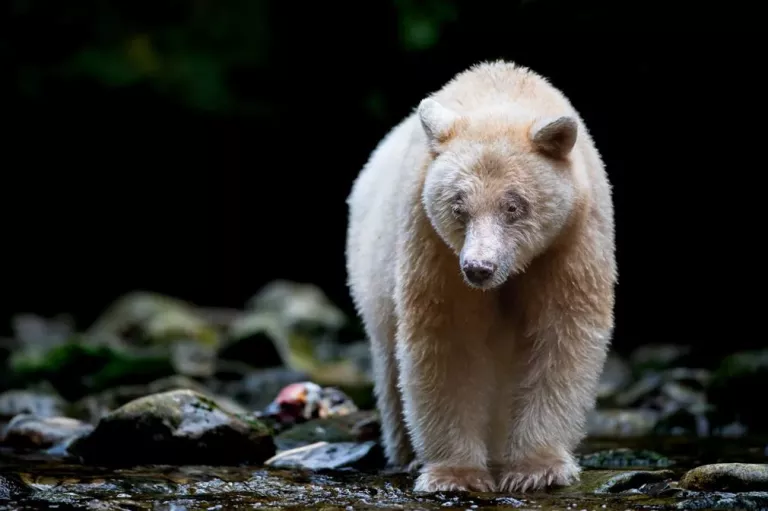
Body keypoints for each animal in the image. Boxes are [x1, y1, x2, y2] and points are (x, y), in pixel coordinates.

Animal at [345, 60, 616, 494]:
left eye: (513, 206)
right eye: (458, 206)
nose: (479, 268)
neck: (499, 93)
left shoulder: (569, 240)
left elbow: (560, 333)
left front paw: (535, 469)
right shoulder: (432, 243)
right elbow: (449, 340)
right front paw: (456, 475)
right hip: (373, 277)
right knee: (390, 364)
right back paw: (406, 455)